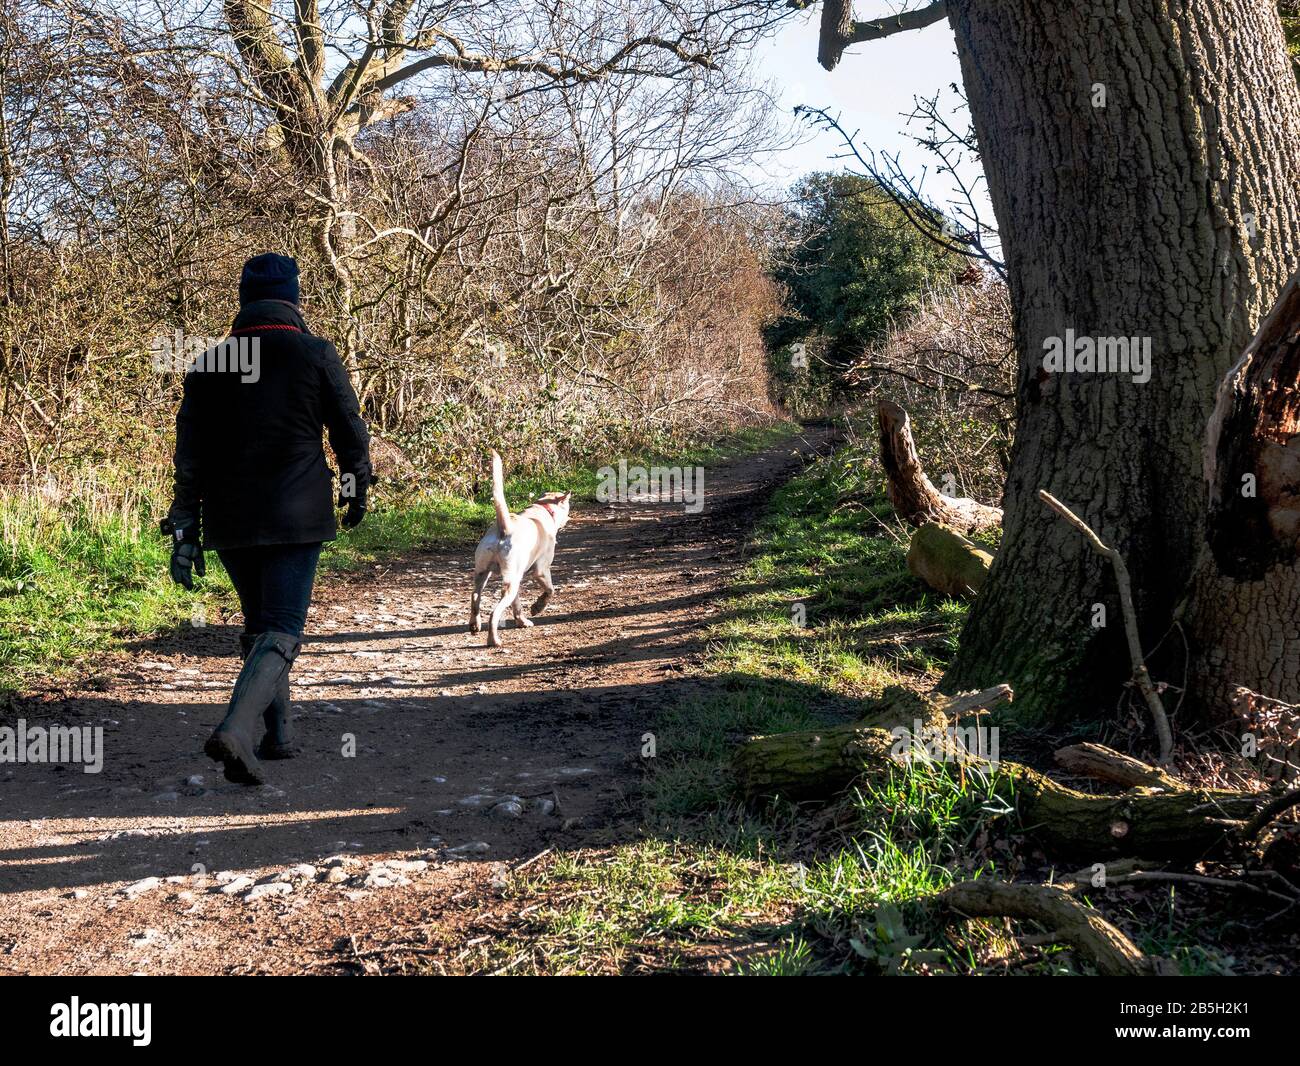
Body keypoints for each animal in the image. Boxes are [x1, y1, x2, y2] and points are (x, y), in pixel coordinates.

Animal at [467, 452, 569, 650]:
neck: (542, 510)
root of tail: (504, 528)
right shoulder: (541, 571)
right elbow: (550, 590)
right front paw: (537, 607)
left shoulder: (518, 577)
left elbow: (517, 603)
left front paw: (522, 620)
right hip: (509, 583)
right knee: (494, 613)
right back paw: (493, 640)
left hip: (485, 574)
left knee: (475, 596)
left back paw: (475, 625)